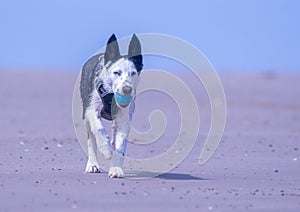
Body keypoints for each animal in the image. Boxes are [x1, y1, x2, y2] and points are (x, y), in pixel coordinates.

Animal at [79, 34, 143, 178]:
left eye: (133, 73)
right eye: (116, 73)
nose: (127, 89)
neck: (111, 95)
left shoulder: (124, 118)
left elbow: (121, 144)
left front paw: (116, 169)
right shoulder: (92, 110)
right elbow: (99, 129)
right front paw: (106, 150)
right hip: (85, 115)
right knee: (91, 139)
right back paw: (93, 164)